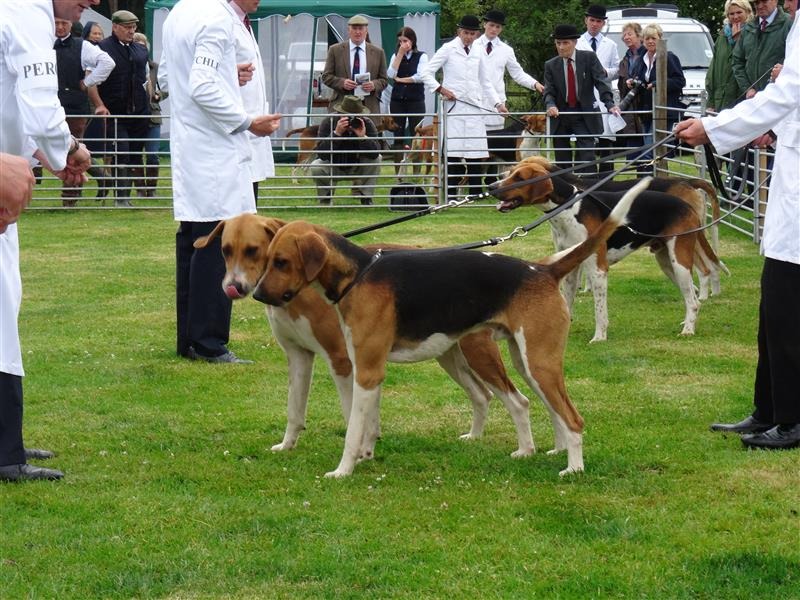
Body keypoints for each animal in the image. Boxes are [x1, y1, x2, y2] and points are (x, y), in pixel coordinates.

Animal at [194, 214, 527, 453]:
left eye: (254, 251)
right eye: (225, 250)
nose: (235, 288)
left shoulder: (342, 360)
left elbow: (351, 411)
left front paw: (359, 449)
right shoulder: (299, 357)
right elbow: (294, 410)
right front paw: (288, 445)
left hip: (477, 353)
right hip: (448, 355)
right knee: (482, 395)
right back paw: (474, 437)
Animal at [253, 180, 649, 477]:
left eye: (282, 261)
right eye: (265, 258)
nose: (256, 295)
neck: (358, 274)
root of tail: (542, 269)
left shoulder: (366, 371)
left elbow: (353, 429)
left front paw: (343, 470)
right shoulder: (364, 368)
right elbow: (366, 427)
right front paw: (365, 457)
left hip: (537, 362)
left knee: (572, 418)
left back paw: (574, 468)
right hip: (527, 362)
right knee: (534, 405)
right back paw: (537, 451)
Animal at [491, 156, 728, 342]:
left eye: (520, 178)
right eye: (510, 173)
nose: (492, 186)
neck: (570, 207)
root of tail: (686, 202)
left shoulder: (598, 269)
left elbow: (599, 310)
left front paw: (599, 337)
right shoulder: (570, 267)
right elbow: (568, 302)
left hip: (679, 260)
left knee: (694, 299)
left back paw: (688, 329)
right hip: (666, 262)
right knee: (691, 295)